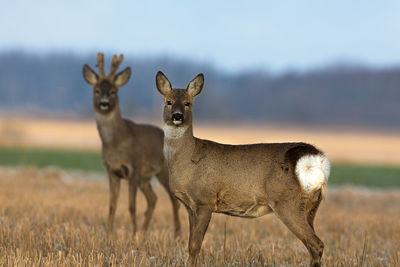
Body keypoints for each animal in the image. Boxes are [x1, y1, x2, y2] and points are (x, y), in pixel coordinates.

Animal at [81, 54, 181, 237]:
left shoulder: (133, 168)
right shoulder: (112, 171)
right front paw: (109, 234)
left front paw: (132, 234)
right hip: (145, 178)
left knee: (173, 200)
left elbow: (132, 206)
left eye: (113, 91)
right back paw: (144, 232)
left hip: (163, 171)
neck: (116, 142)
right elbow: (112, 205)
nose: (104, 103)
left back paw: (177, 235)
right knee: (153, 199)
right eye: (96, 90)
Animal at [155, 71, 330, 267]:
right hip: (311, 205)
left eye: (188, 103)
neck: (188, 160)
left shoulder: (205, 200)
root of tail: (316, 158)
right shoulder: (189, 206)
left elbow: (195, 246)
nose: (177, 116)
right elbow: (190, 245)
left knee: (316, 244)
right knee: (313, 245)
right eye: (168, 101)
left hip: (287, 202)